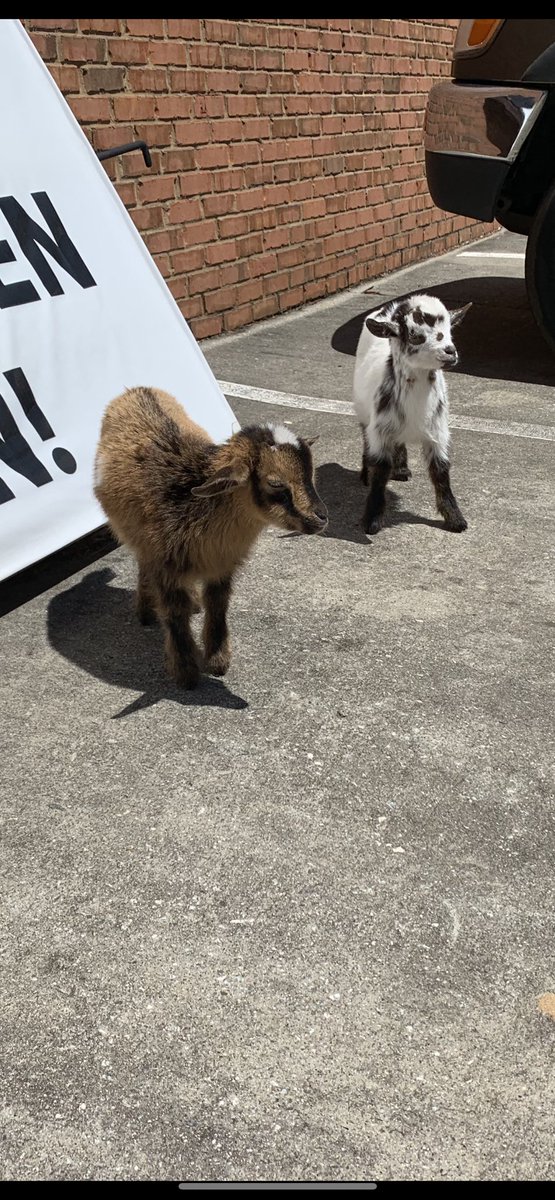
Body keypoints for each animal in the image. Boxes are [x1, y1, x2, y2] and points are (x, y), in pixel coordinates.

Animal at [94, 386, 327, 688]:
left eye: (312, 474)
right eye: (275, 483)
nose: (321, 518)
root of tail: (135, 390)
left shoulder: (221, 564)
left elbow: (217, 605)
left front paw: (217, 661)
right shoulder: (164, 563)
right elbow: (175, 613)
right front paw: (186, 673)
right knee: (143, 563)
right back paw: (146, 612)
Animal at [353, 293, 471, 535]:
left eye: (450, 330)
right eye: (415, 335)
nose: (450, 352)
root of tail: (387, 309)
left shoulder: (438, 433)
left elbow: (441, 472)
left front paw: (455, 519)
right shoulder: (380, 430)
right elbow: (380, 470)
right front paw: (371, 520)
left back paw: (400, 469)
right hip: (364, 414)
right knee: (365, 438)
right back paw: (366, 474)